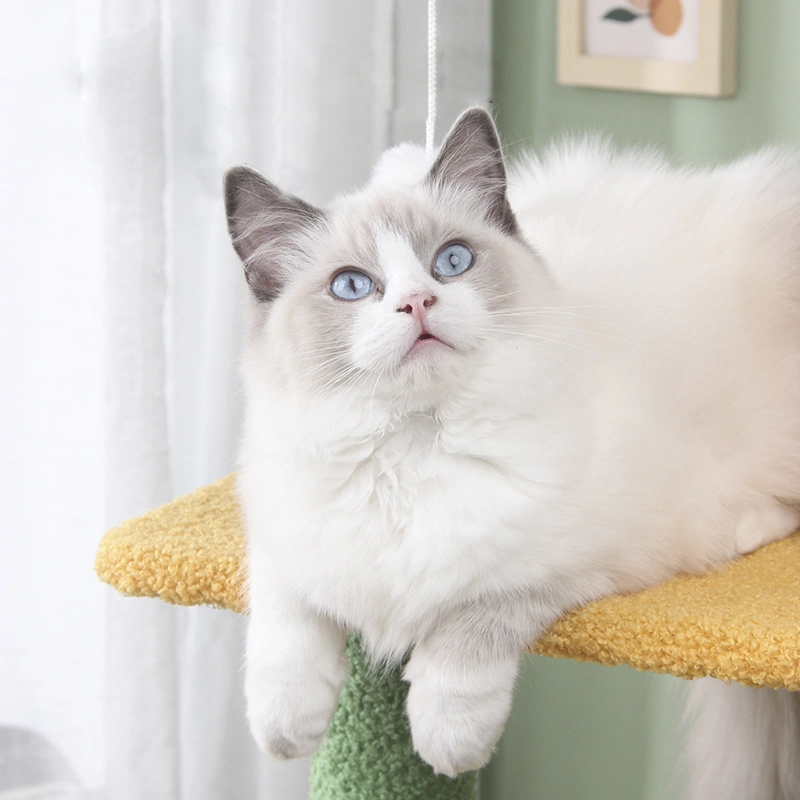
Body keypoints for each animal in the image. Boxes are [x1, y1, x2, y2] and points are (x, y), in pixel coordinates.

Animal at [223, 109, 800, 796]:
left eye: (452, 261)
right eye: (352, 286)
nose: (417, 302)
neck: (412, 447)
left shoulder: (566, 561)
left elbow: (471, 626)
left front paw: (447, 742)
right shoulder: (285, 530)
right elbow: (284, 622)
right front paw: (287, 730)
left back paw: (743, 532)